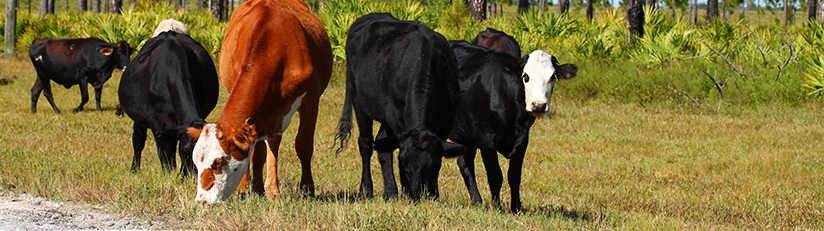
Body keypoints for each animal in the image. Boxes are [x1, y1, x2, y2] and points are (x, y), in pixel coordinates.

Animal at [116, 31, 219, 177]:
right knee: (138, 141)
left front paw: (182, 176)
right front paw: (169, 175)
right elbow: (165, 151)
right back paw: (134, 169)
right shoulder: (156, 122)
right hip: (139, 120)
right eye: (187, 151)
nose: (196, 177)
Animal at [183, 0, 332, 204]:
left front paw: (307, 190)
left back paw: (273, 189)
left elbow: (303, 145)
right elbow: (257, 152)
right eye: (196, 163)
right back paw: (252, 187)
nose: (202, 201)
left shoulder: (311, 98)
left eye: (218, 161)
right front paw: (255, 188)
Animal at [334, 12, 464, 201]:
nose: (416, 193)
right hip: (359, 102)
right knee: (366, 144)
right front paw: (407, 192)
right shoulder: (396, 118)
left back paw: (390, 192)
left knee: (381, 145)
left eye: (431, 164)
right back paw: (367, 189)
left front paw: (433, 194)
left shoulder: (446, 120)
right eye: (403, 161)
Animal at [448, 40, 576, 213]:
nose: (539, 105)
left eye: (553, 77)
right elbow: (495, 175)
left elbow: (514, 176)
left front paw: (516, 207)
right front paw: (496, 206)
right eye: (525, 76)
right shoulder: (486, 139)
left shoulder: (522, 138)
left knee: (465, 164)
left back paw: (477, 201)